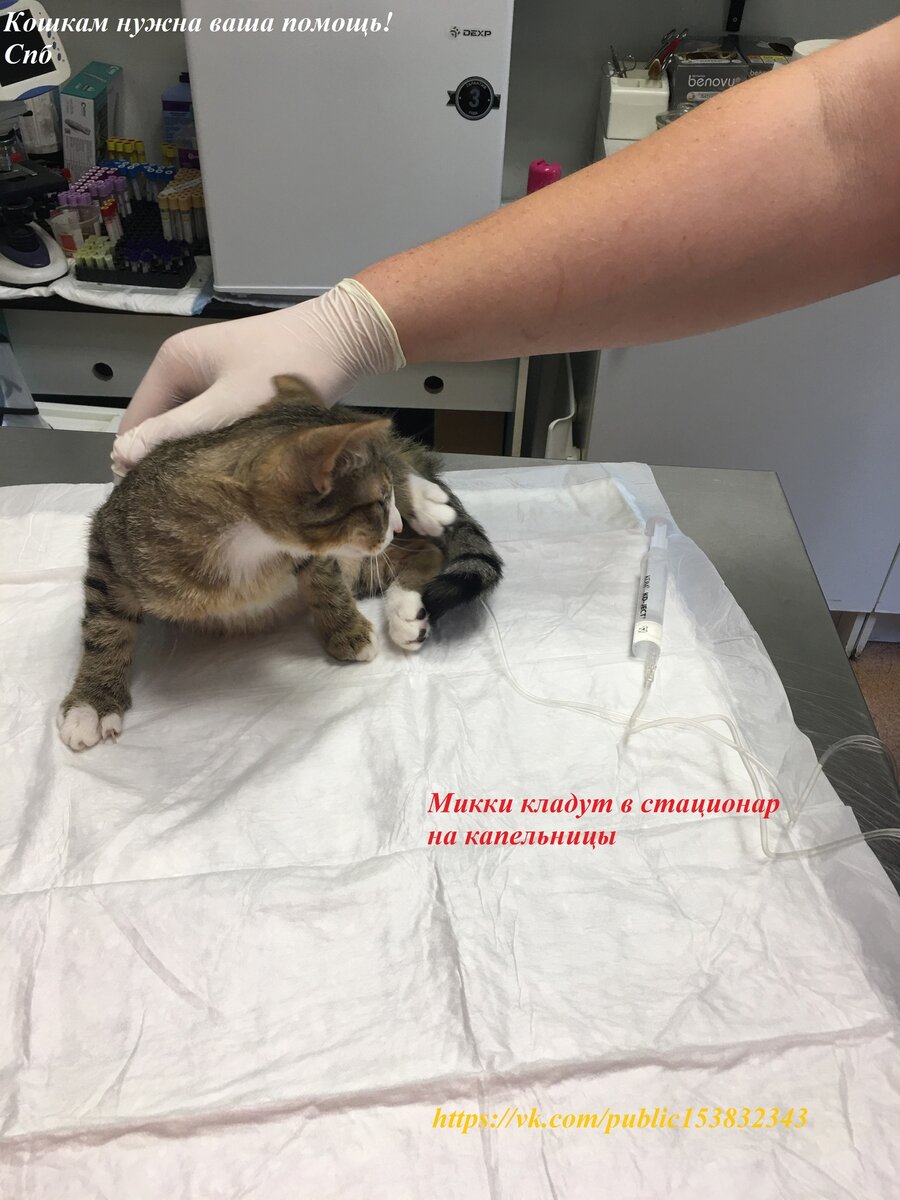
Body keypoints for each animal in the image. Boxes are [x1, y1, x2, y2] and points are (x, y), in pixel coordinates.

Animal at [58, 375, 503, 751]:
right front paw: (93, 701)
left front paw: (347, 630)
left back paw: (424, 507)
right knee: (424, 548)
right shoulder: (111, 542)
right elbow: (104, 626)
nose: (392, 523)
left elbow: (324, 579)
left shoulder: (315, 551)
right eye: (378, 502)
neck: (247, 545)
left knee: (409, 493)